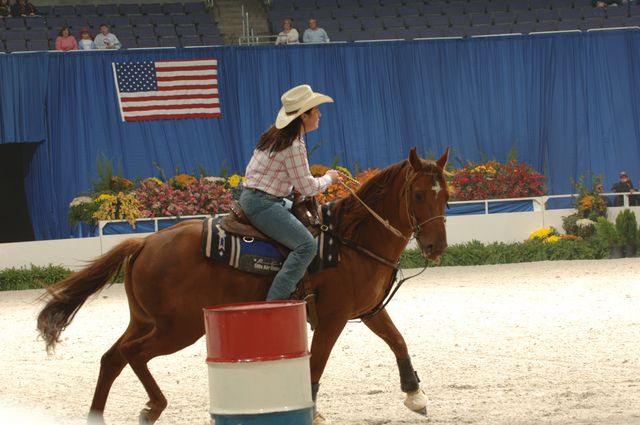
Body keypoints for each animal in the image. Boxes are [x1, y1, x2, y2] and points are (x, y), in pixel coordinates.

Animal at [37, 147, 448, 422]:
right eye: (417, 194)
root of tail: (145, 243)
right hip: (180, 328)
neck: (349, 240)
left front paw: (416, 396)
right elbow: (316, 364)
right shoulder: (332, 318)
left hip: (145, 320)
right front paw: (313, 411)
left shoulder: (369, 310)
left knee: (112, 358)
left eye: (445, 194)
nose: (436, 247)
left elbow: (398, 341)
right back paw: (154, 407)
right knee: (132, 354)